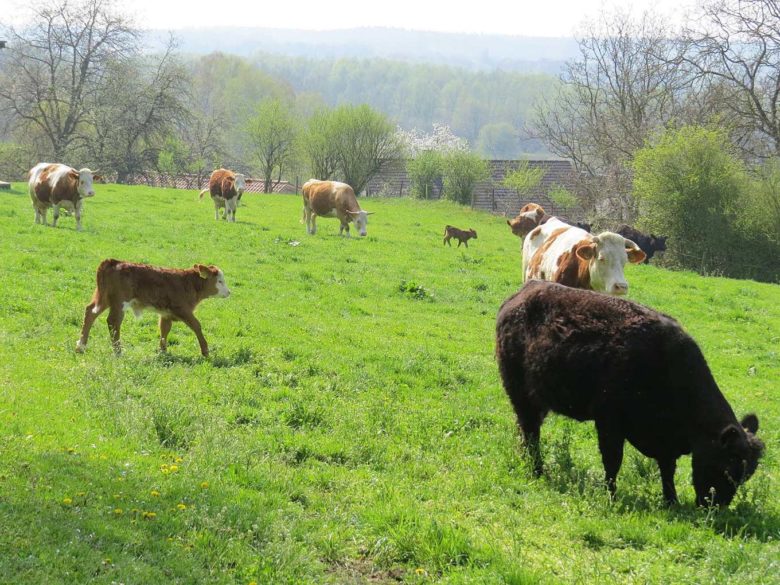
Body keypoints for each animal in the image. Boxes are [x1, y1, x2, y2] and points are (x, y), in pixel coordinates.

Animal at [74, 258, 230, 356]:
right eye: (220, 281)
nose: (229, 292)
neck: (188, 283)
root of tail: (113, 262)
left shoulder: (166, 313)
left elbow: (164, 329)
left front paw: (163, 351)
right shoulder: (182, 309)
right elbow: (197, 325)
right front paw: (205, 351)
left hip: (104, 298)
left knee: (90, 312)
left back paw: (80, 346)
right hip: (119, 302)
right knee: (113, 321)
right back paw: (118, 351)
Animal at [496, 280, 764, 504]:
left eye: (746, 476)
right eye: (727, 469)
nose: (715, 507)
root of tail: (525, 290)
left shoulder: (664, 440)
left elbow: (667, 470)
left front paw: (672, 501)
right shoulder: (609, 421)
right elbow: (613, 461)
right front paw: (611, 496)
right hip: (521, 395)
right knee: (531, 433)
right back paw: (537, 471)